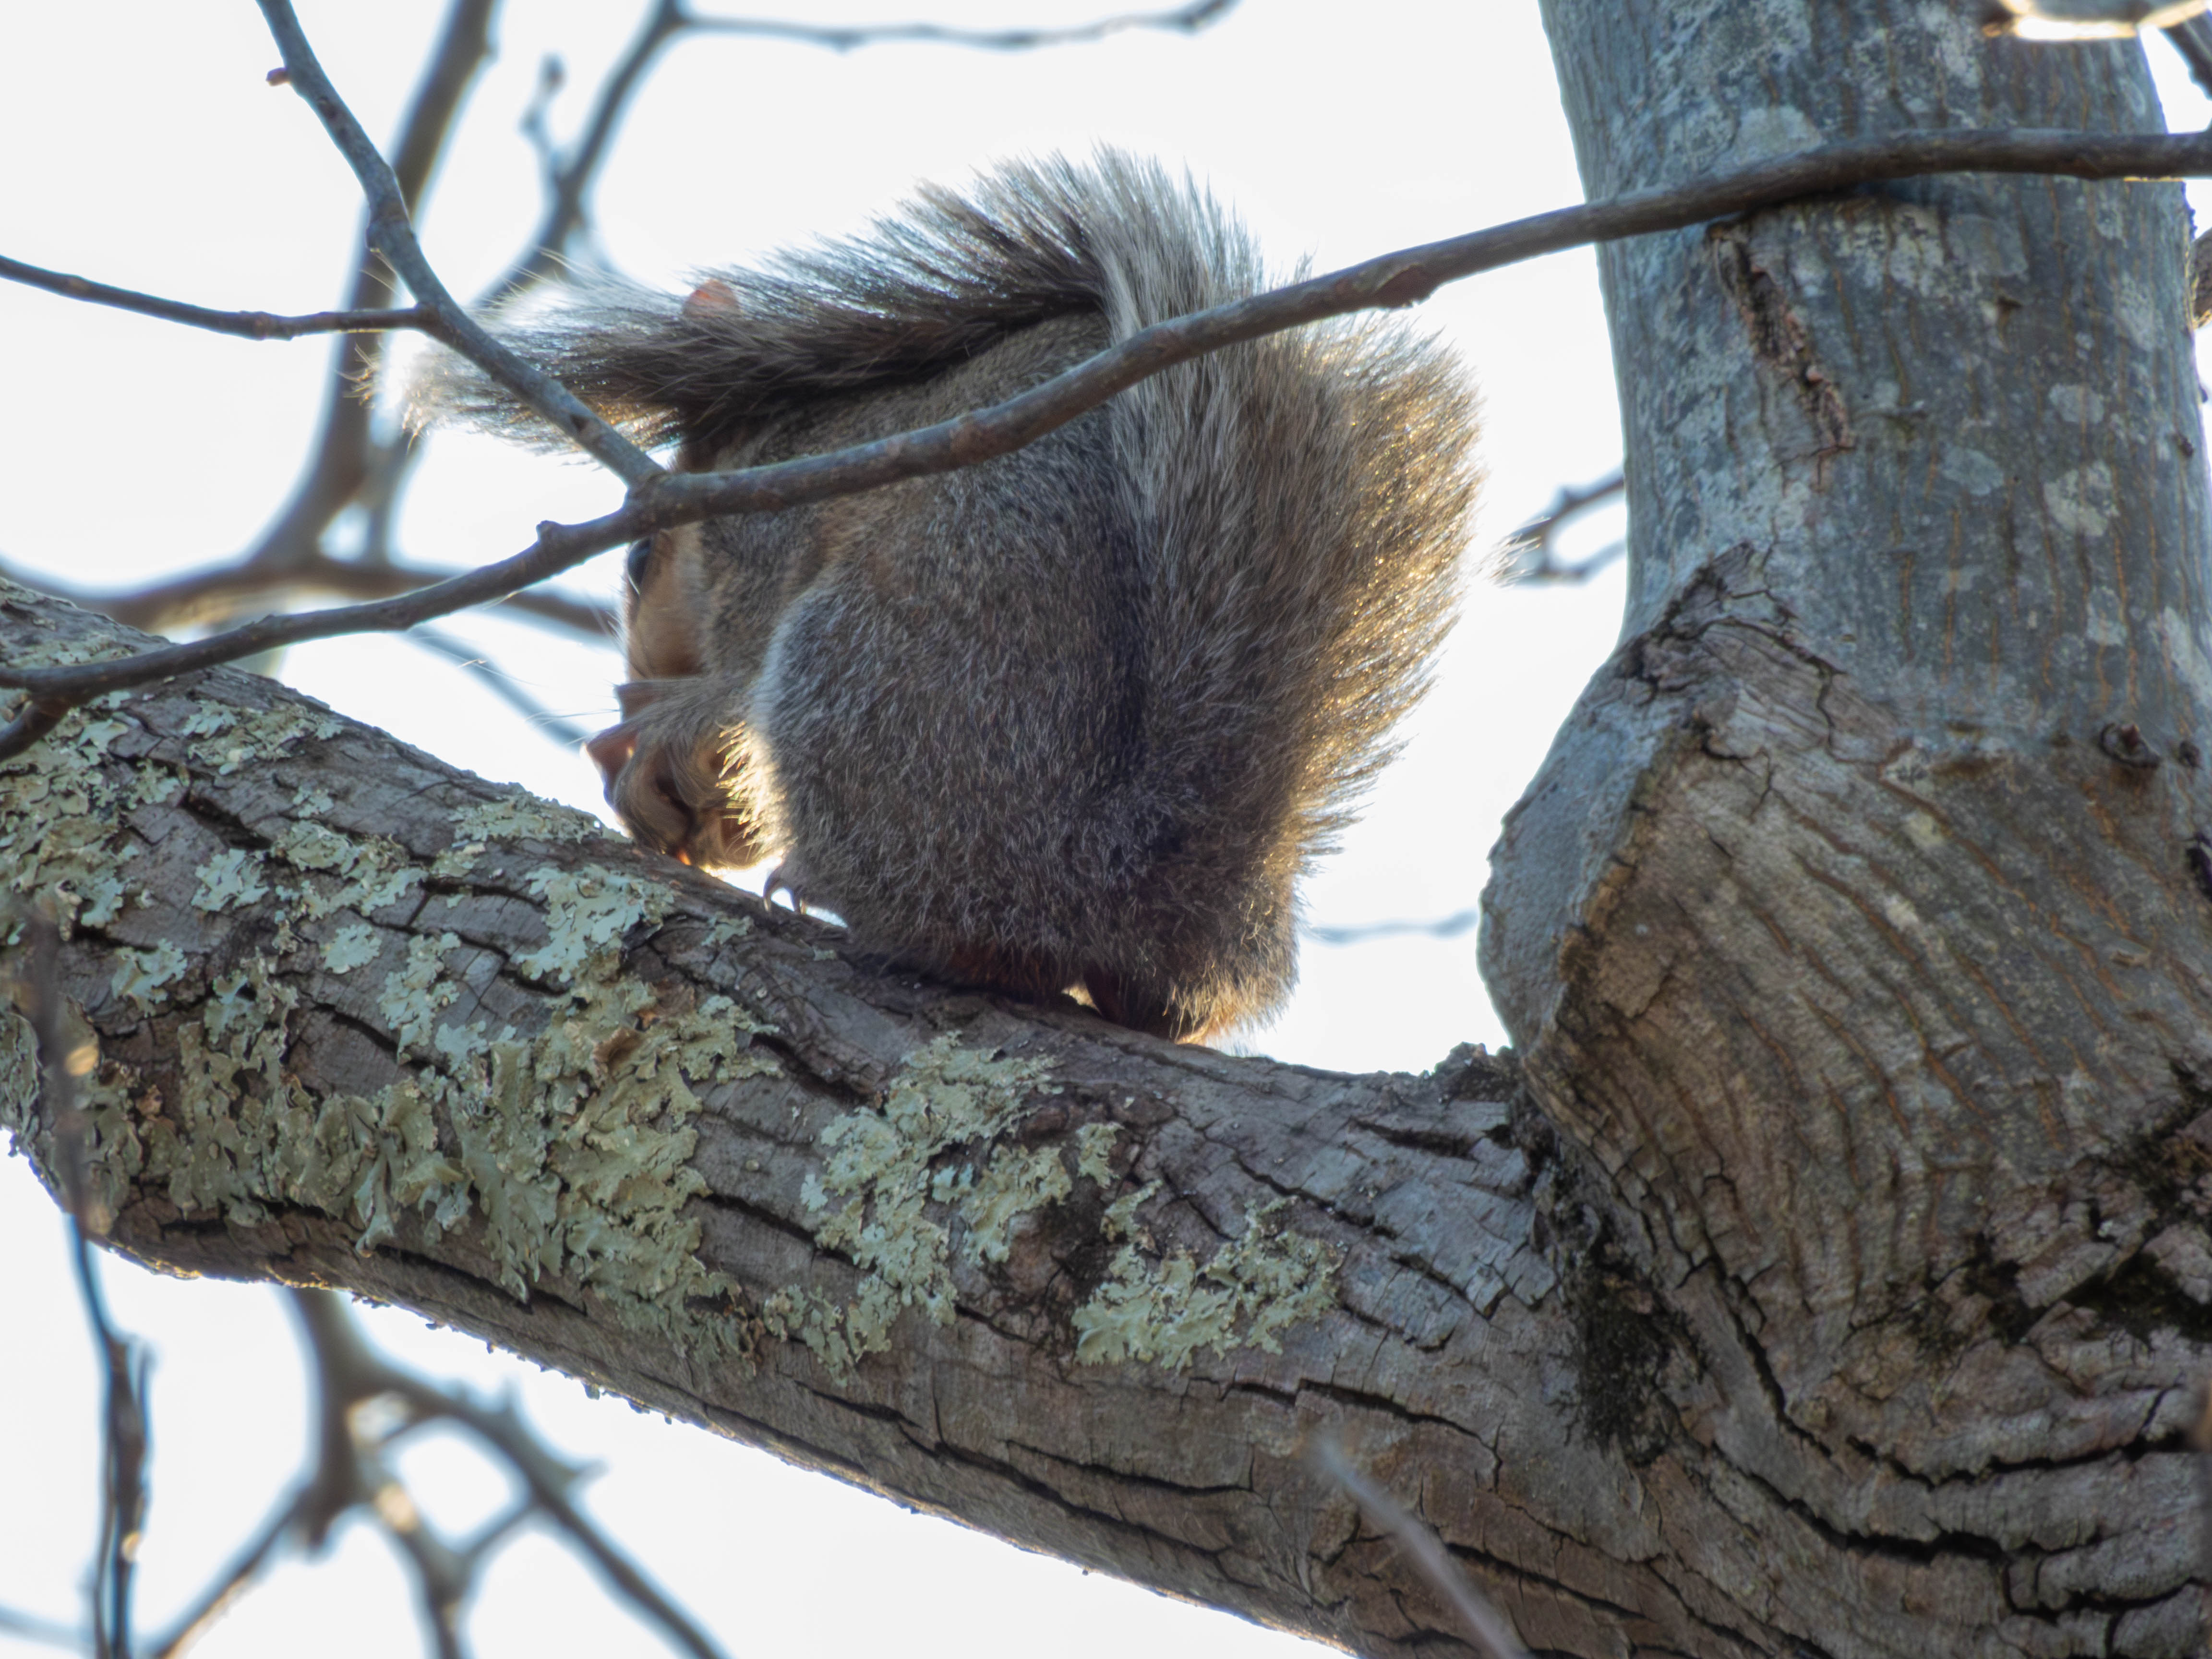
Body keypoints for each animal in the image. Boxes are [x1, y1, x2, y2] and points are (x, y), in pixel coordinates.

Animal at [417, 151, 1479, 1041]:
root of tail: (1124, 878)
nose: (638, 671)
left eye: (640, 561)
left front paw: (666, 728)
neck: (781, 441)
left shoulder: (765, 544)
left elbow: (735, 678)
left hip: (861, 663)